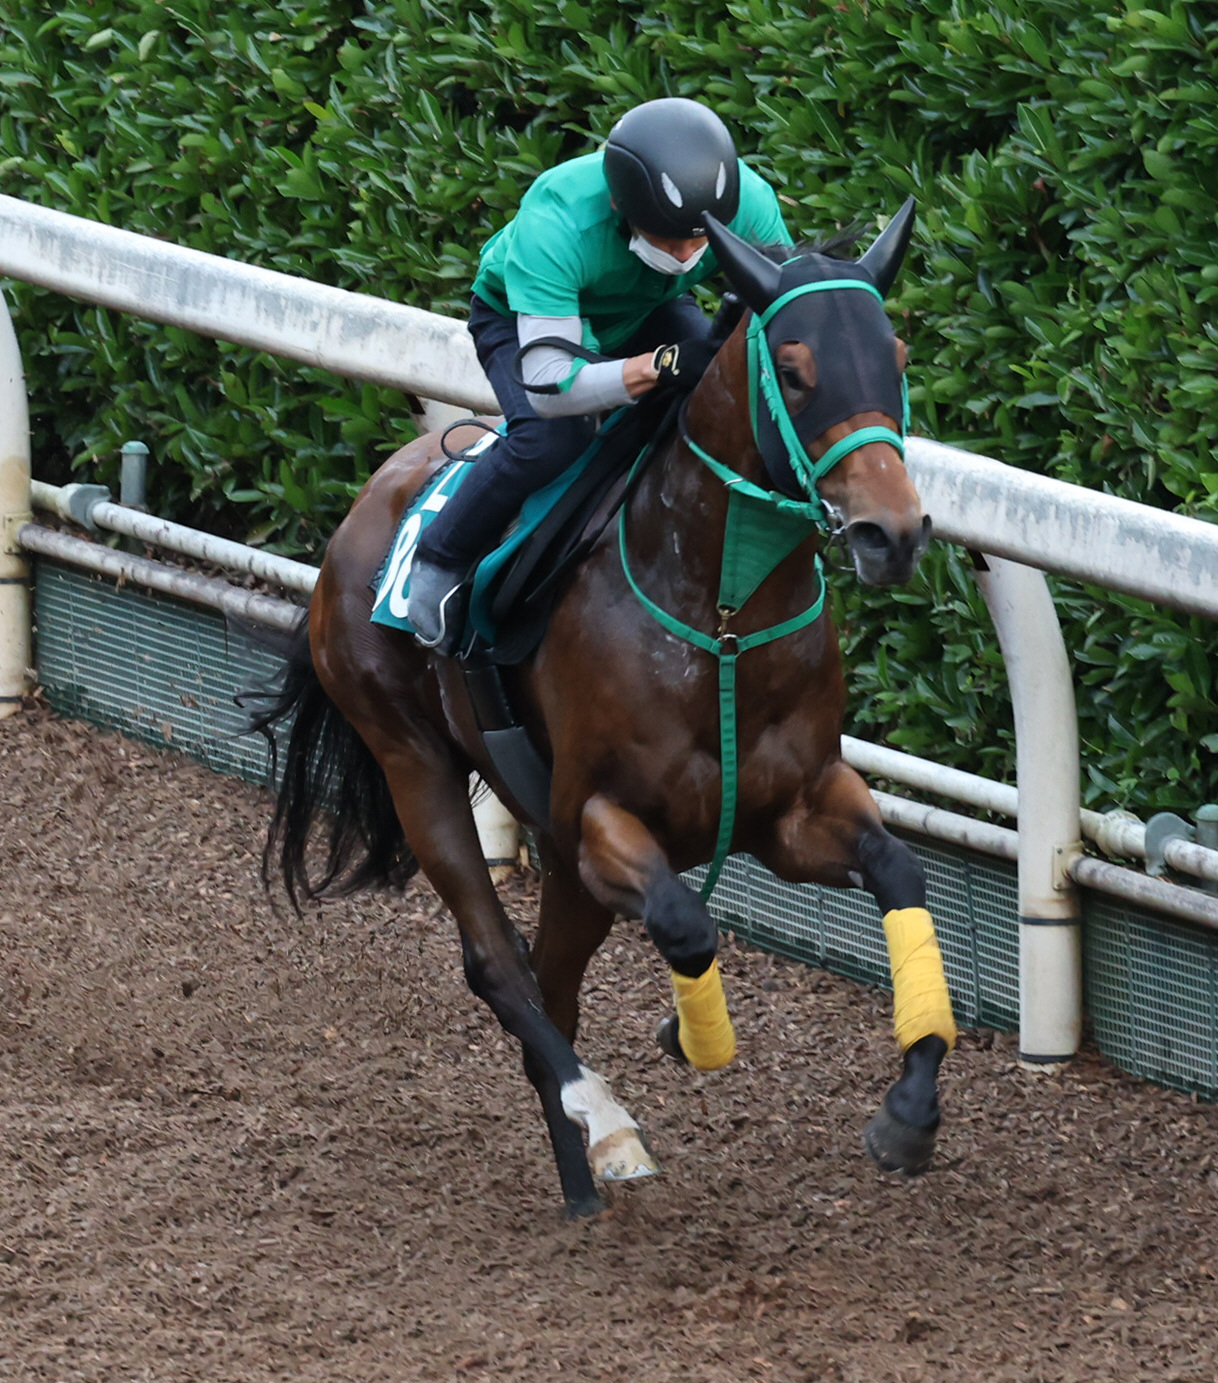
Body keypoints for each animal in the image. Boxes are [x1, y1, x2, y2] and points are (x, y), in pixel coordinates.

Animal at [255, 200, 958, 1219]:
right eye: (793, 369)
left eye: (895, 357)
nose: (891, 533)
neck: (724, 618)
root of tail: (369, 502)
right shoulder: (595, 819)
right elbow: (686, 923)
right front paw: (691, 1038)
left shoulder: (790, 807)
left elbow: (901, 870)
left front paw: (909, 1110)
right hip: (416, 760)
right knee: (499, 962)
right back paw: (606, 1125)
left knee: (550, 983)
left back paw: (578, 1170)